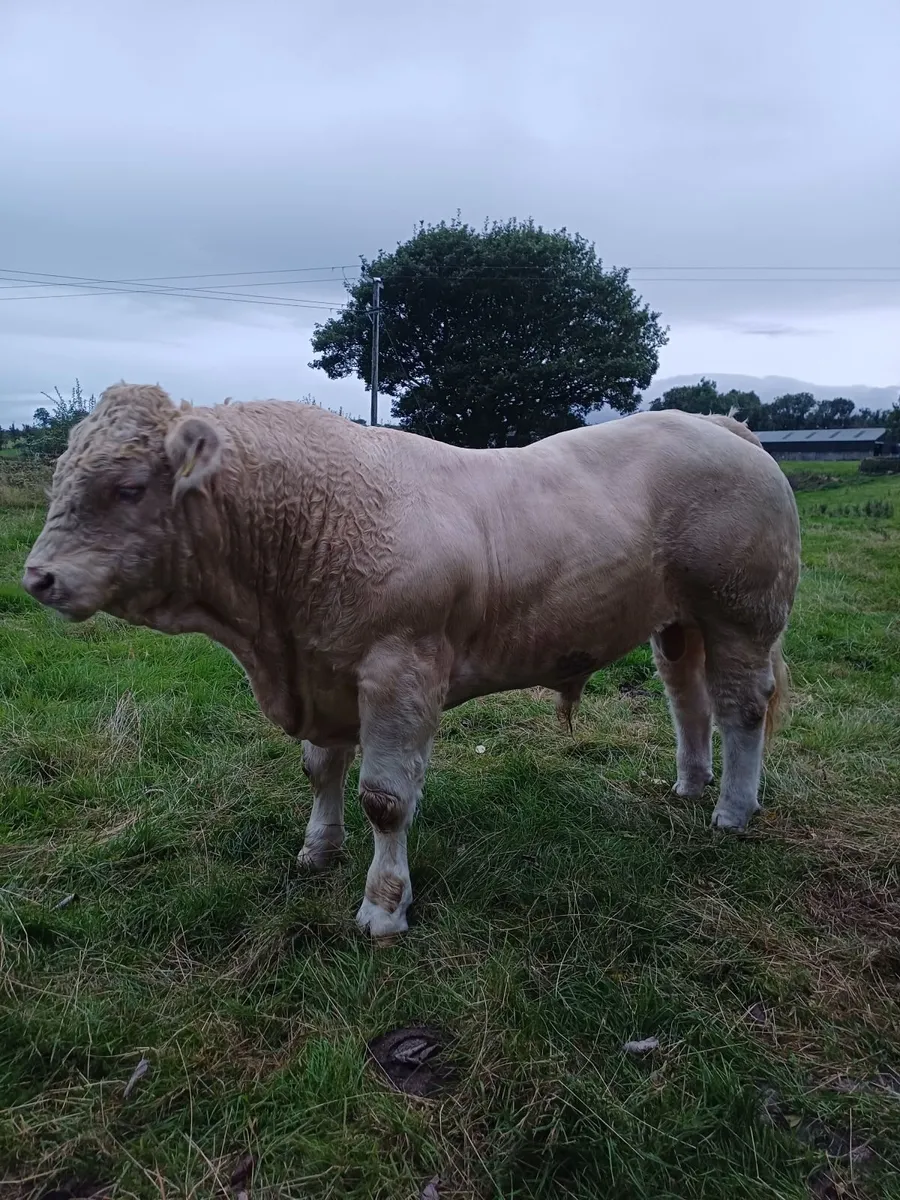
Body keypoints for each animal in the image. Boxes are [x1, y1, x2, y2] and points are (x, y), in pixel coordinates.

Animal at [23, 385, 801, 938]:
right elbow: (321, 771)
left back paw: (732, 810)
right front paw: (319, 849)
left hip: (742, 613)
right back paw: (690, 784)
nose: (38, 577)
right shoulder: (326, 671)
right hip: (679, 621)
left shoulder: (399, 672)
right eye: (59, 478)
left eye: (128, 486)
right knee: (687, 699)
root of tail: (717, 423)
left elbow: (385, 799)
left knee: (741, 708)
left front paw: (384, 907)